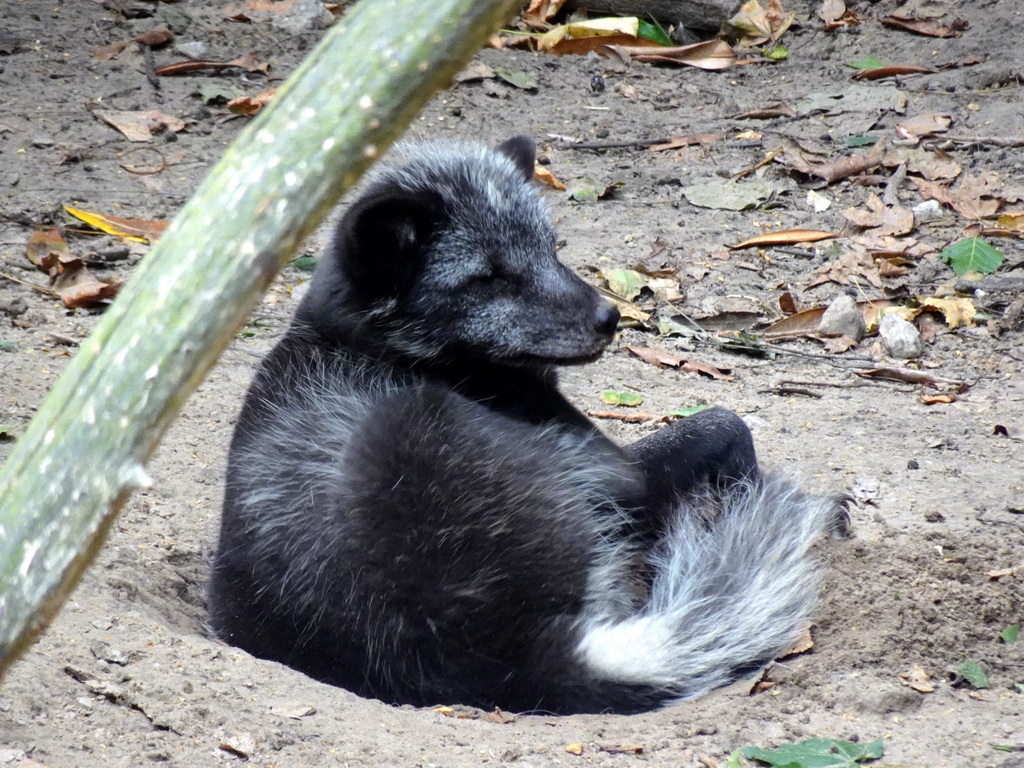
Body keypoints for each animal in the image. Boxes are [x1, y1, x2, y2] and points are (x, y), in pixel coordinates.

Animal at [205, 137, 831, 716]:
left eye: (551, 248)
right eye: (488, 278)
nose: (609, 318)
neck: (367, 347)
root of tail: (512, 656)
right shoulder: (615, 469)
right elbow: (728, 424)